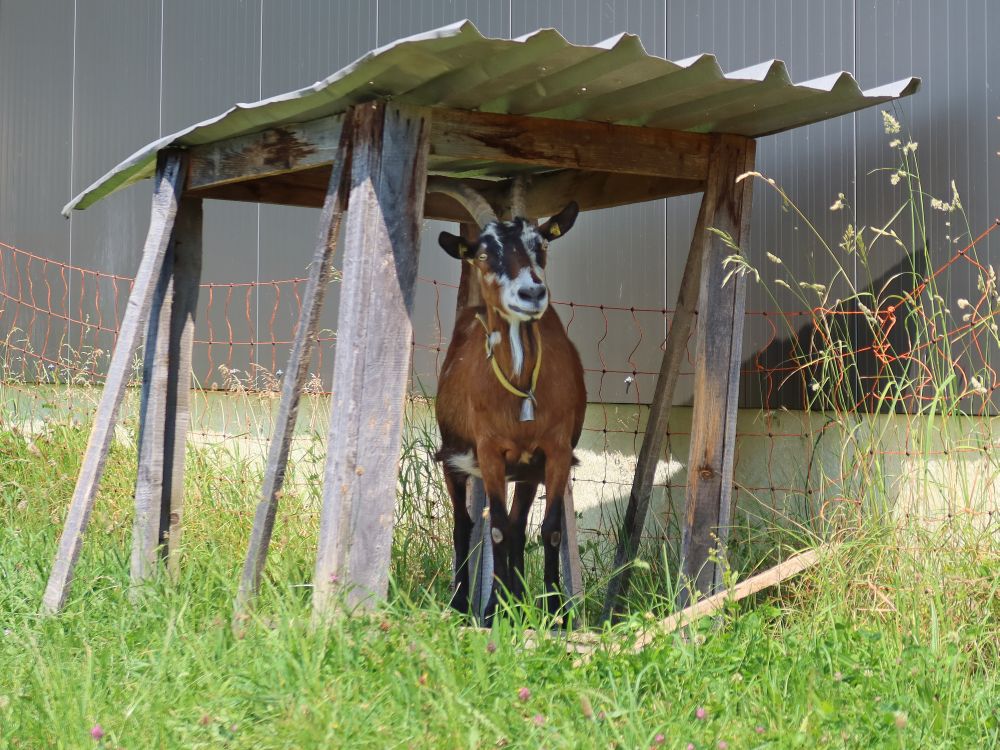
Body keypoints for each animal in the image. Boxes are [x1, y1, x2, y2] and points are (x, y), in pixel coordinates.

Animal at [430, 179, 584, 620]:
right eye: (483, 253)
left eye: (542, 245)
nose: (532, 292)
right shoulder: (489, 450)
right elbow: (495, 528)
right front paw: (490, 612)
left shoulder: (555, 450)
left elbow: (549, 530)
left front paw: (556, 613)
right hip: (454, 456)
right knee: (464, 525)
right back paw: (462, 602)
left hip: (528, 470)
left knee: (517, 526)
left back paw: (516, 599)